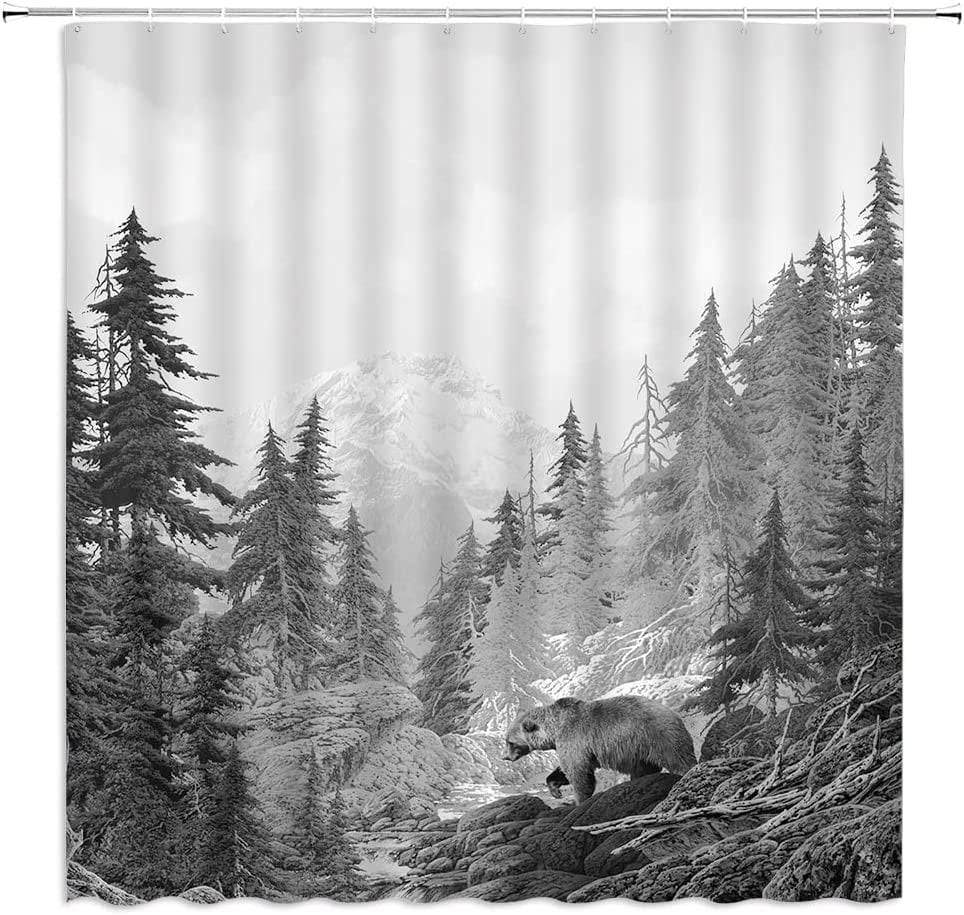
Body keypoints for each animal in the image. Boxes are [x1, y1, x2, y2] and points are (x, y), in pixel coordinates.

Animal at [504, 695, 697, 803]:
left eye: (510, 742)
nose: (505, 757)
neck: (554, 728)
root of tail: (674, 712)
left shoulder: (574, 738)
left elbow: (579, 772)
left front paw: (579, 800)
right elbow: (567, 769)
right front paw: (555, 788)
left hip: (657, 735)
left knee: (679, 759)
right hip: (639, 751)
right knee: (644, 769)